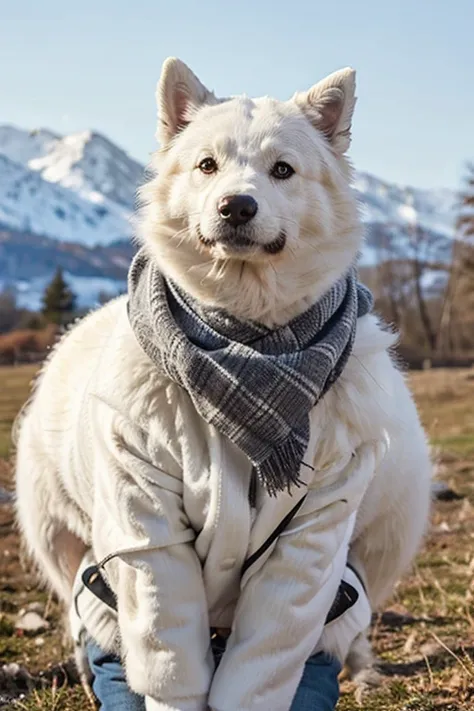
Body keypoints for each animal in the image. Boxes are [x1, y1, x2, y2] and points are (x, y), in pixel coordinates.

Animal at [14, 58, 432, 708]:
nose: (236, 206)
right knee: (83, 608)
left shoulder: (315, 530)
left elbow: (267, 654)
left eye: (282, 169)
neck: (244, 344)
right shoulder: (146, 524)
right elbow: (167, 644)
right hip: (55, 533)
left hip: (391, 530)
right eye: (207, 165)